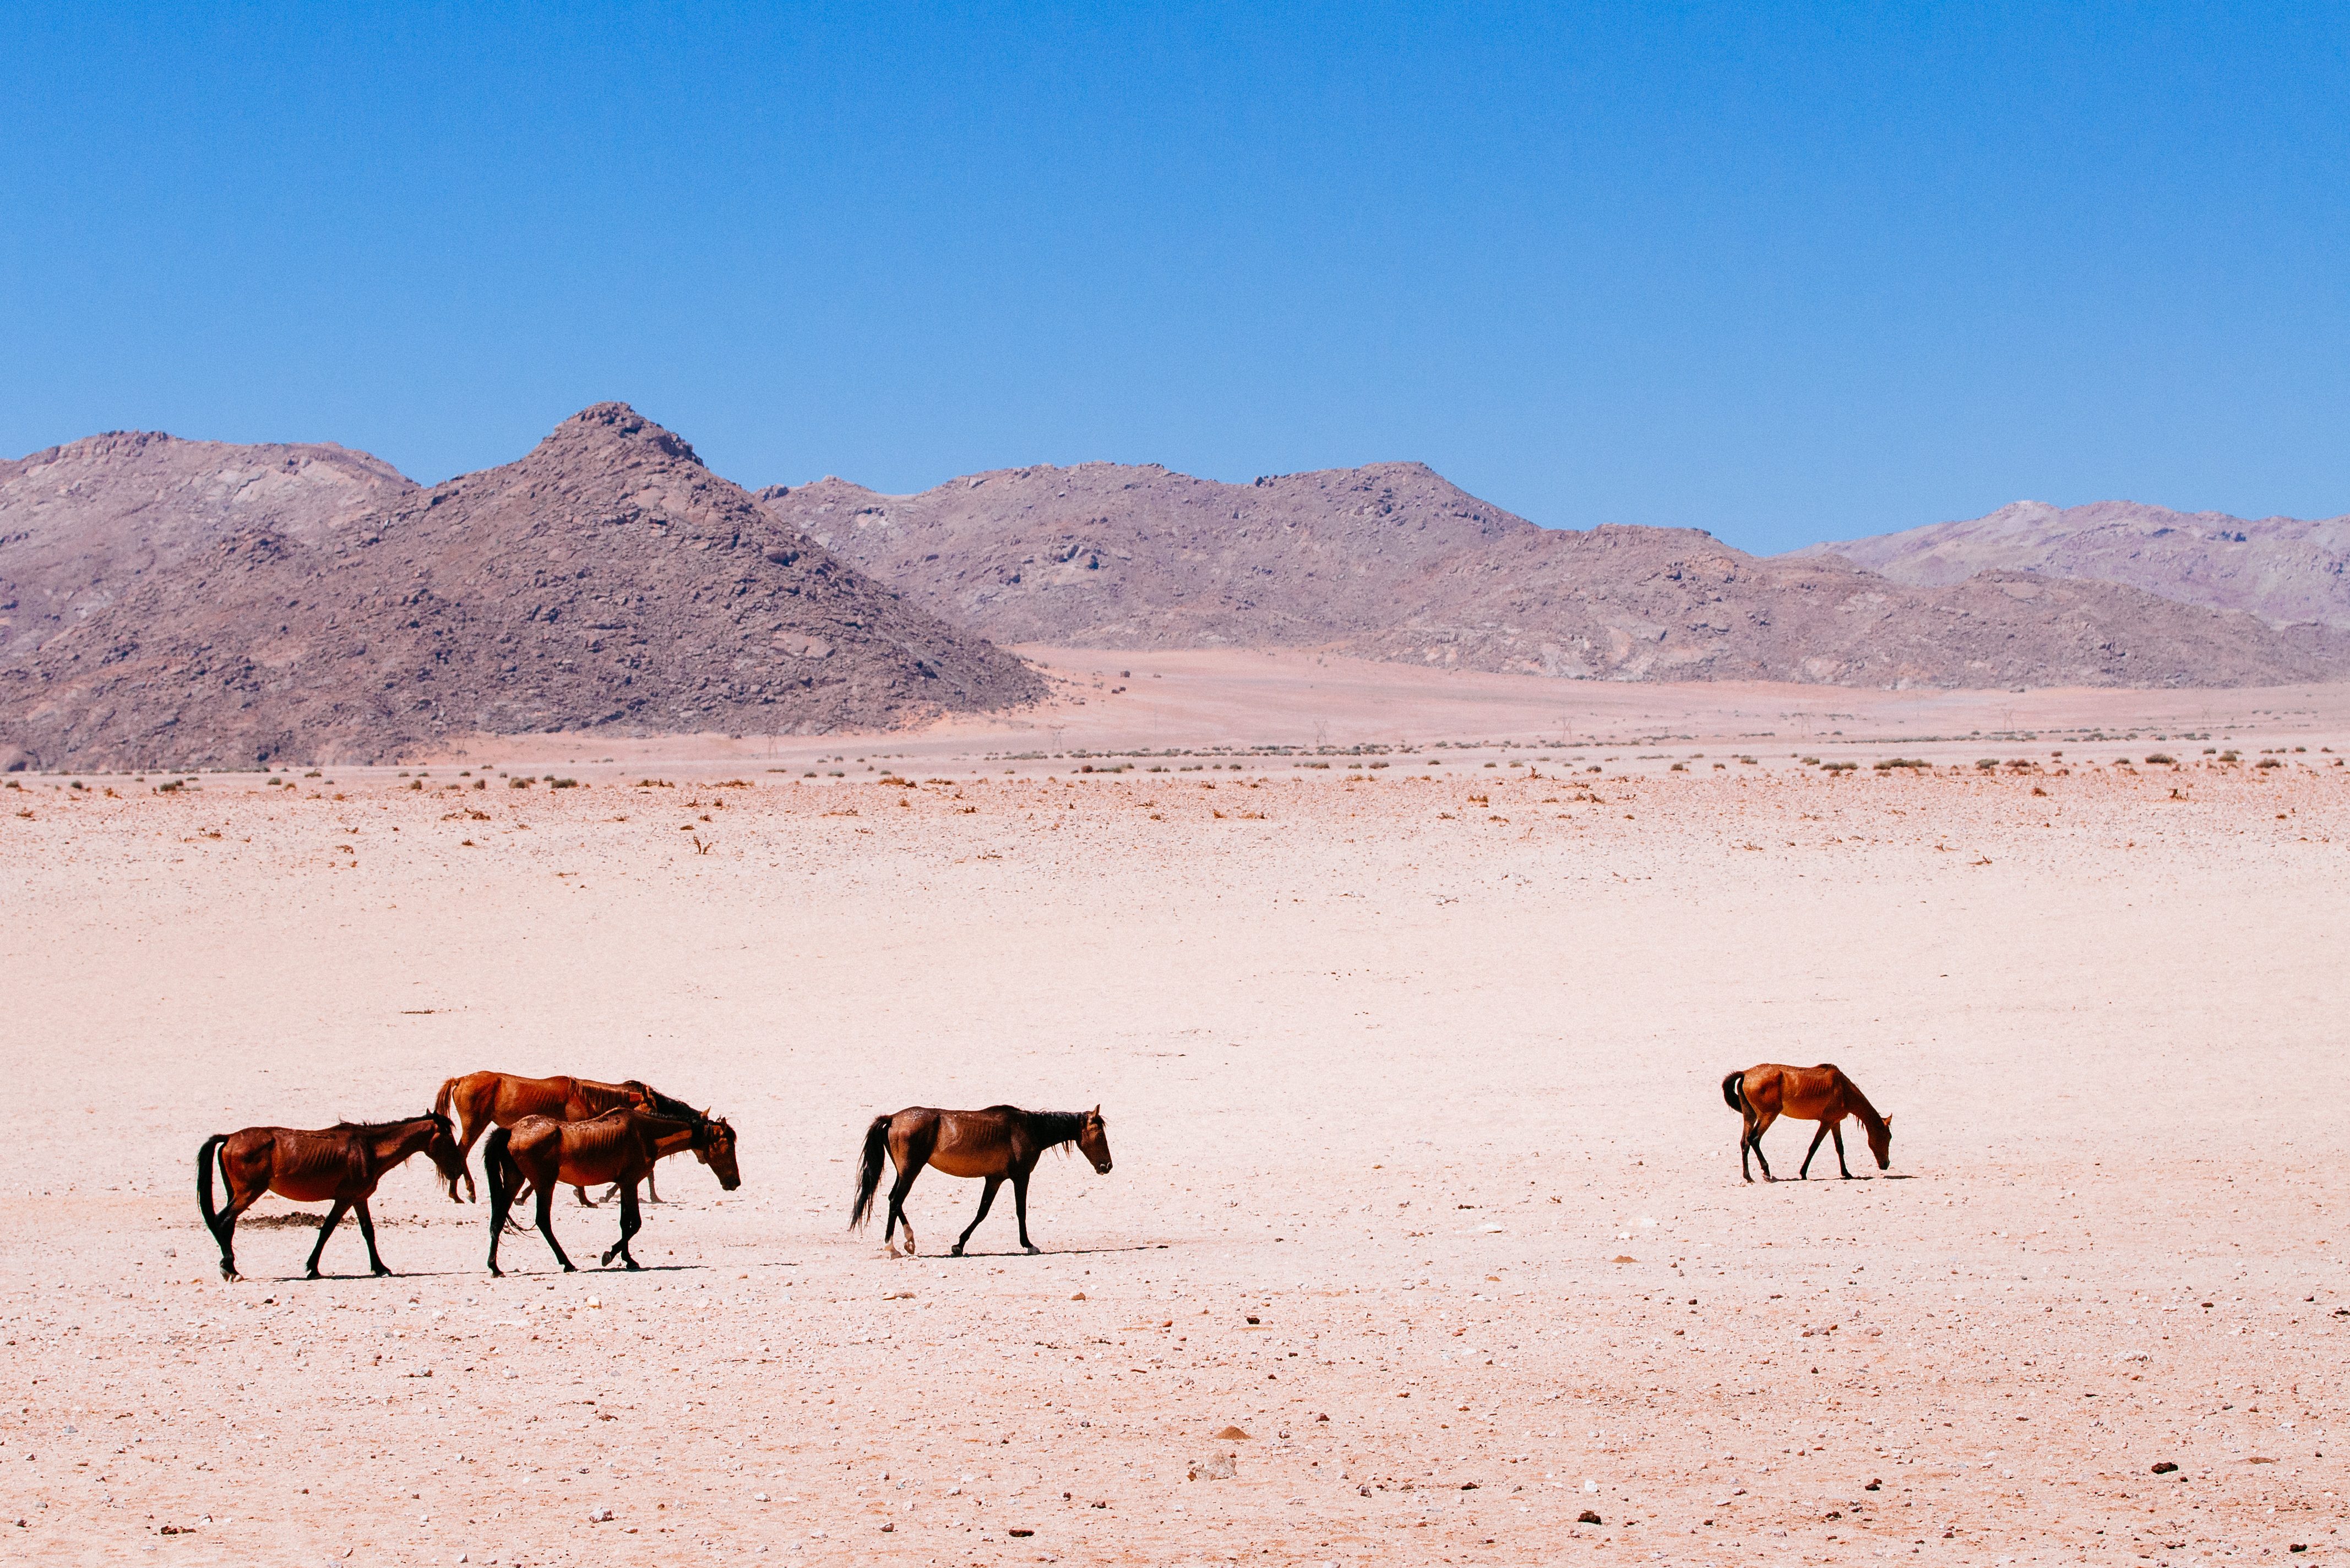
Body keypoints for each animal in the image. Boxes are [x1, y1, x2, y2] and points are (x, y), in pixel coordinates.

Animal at [195, 1113, 466, 1281]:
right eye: (448, 1138)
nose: (458, 1171)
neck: (369, 1148)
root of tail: (230, 1137)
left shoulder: (359, 1199)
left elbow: (368, 1232)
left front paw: (380, 1268)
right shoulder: (344, 1199)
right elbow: (327, 1230)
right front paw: (312, 1268)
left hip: (238, 1194)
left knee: (227, 1225)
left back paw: (230, 1266)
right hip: (248, 1193)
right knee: (223, 1222)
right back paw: (230, 1269)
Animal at [434, 1071, 688, 1206]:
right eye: (653, 1107)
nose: (661, 1121)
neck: (584, 1097)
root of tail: (460, 1080)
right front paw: (585, 1199)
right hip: (475, 1125)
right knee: (461, 1153)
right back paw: (463, 1193)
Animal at [482, 1107, 740, 1276]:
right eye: (728, 1146)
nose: (735, 1183)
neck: (645, 1133)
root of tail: (512, 1130)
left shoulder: (626, 1185)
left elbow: (625, 1223)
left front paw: (629, 1259)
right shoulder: (630, 1183)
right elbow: (635, 1224)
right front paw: (610, 1255)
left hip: (515, 1180)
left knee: (498, 1218)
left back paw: (495, 1267)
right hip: (545, 1184)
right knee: (543, 1221)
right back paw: (567, 1263)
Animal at [850, 1105, 1111, 1257]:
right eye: (1100, 1135)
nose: (1107, 1166)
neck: (1030, 1128)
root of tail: (894, 1118)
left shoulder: (995, 1179)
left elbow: (982, 1212)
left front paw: (959, 1245)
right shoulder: (1020, 1177)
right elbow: (1021, 1212)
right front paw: (1028, 1244)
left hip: (905, 1172)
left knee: (895, 1201)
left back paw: (910, 1241)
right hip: (910, 1171)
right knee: (895, 1201)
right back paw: (891, 1247)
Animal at [1722, 1064, 1892, 1182]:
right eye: (1888, 1138)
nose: (1886, 1164)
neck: (1843, 1090)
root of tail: (1746, 1073)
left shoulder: (1835, 1123)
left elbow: (1840, 1148)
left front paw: (1846, 1173)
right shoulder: (1826, 1123)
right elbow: (1814, 1147)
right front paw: (1803, 1173)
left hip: (1750, 1116)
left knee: (1745, 1142)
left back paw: (1748, 1177)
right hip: (1768, 1116)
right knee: (1754, 1139)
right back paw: (1767, 1173)